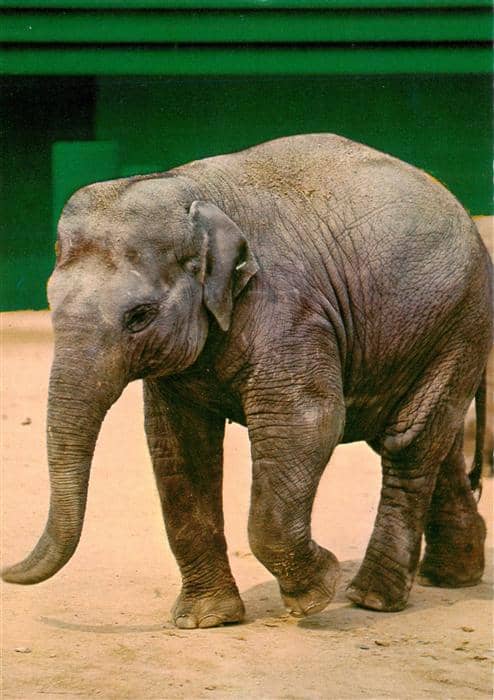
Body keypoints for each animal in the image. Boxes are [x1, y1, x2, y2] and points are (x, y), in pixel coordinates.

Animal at [2, 134, 492, 629]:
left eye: (139, 317)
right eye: (49, 302)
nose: (7, 570)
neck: (192, 191)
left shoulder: (288, 312)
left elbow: (306, 425)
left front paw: (318, 590)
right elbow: (178, 445)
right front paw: (206, 621)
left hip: (460, 320)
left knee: (406, 443)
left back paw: (371, 598)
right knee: (426, 439)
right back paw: (450, 577)